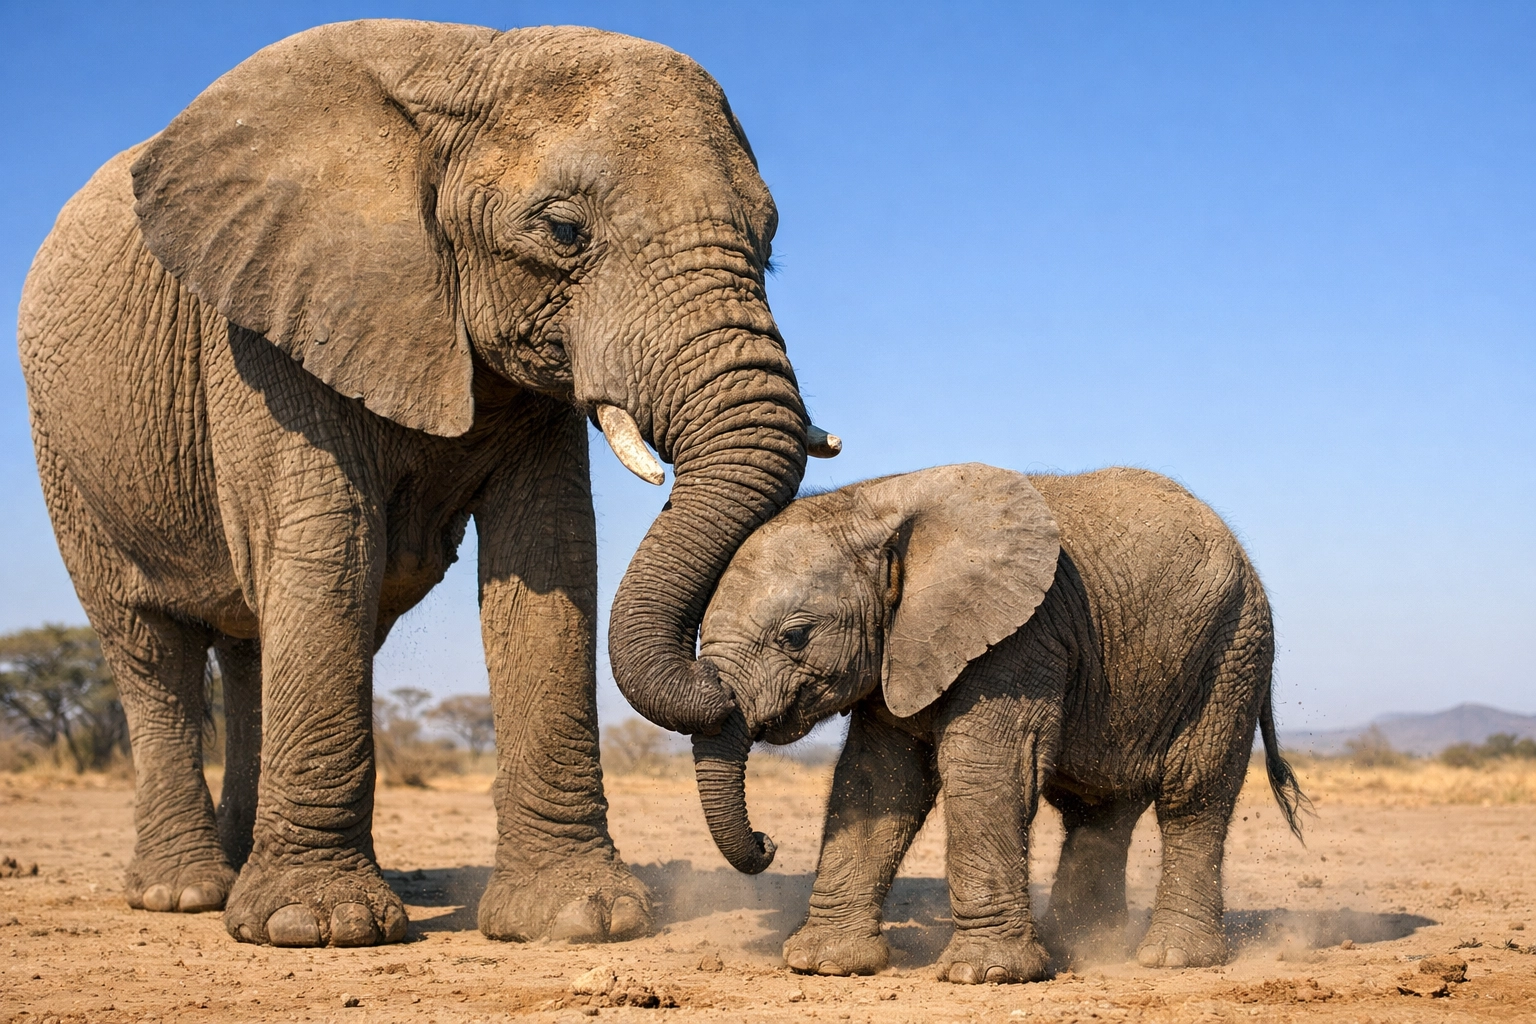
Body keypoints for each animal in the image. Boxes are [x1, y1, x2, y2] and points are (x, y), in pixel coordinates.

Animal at [17, 20, 840, 948]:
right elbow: (332, 544)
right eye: (563, 230)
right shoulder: (267, 326)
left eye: (768, 243)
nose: (769, 845)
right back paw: (186, 893)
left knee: (253, 641)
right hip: (68, 452)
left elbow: (550, 556)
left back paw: (238, 873)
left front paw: (575, 919)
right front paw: (316, 927)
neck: (472, 57)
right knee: (149, 645)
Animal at [690, 464, 1306, 982]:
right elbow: (875, 781)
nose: (767, 842)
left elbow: (986, 769)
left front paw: (984, 974)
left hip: (1233, 652)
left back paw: (1172, 958)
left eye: (795, 635)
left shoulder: (1021, 635)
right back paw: (1077, 947)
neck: (879, 504)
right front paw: (824, 965)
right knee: (1099, 807)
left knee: (1193, 795)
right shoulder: (901, 649)